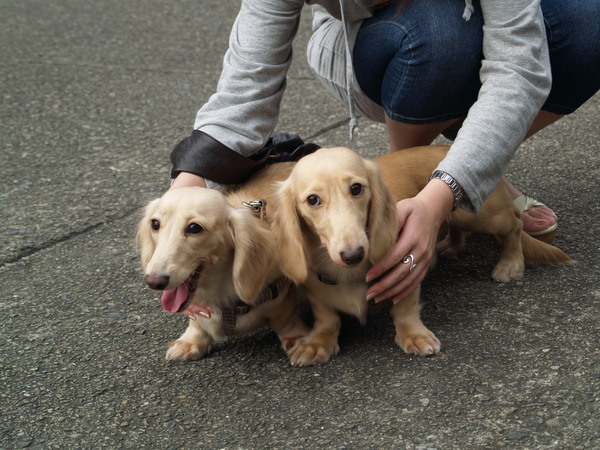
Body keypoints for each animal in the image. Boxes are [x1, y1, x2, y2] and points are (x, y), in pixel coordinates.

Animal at [272, 147, 572, 366]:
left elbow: (404, 309)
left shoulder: (407, 268)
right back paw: (450, 247)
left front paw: (413, 335)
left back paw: (510, 264)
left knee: (515, 224)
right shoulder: (316, 288)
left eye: (356, 188)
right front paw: (317, 343)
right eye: (313, 200)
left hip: (483, 215)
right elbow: (327, 317)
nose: (353, 254)